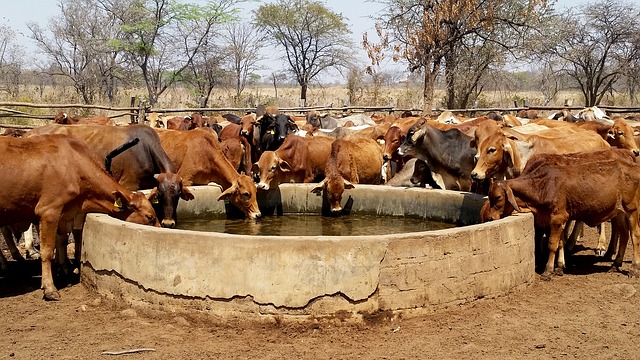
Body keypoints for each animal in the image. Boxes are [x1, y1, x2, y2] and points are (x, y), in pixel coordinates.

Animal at [0, 134, 160, 300]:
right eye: (150, 217)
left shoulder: (66, 215)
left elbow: (64, 241)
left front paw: (65, 269)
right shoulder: (49, 210)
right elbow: (47, 251)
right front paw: (50, 288)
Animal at [484, 149, 640, 278]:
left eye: (497, 197)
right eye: (489, 196)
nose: (490, 218)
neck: (542, 185)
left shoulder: (557, 217)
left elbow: (552, 244)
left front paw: (548, 270)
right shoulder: (556, 220)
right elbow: (560, 242)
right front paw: (559, 267)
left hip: (632, 210)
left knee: (635, 235)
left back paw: (633, 268)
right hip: (619, 212)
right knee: (624, 234)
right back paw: (615, 264)